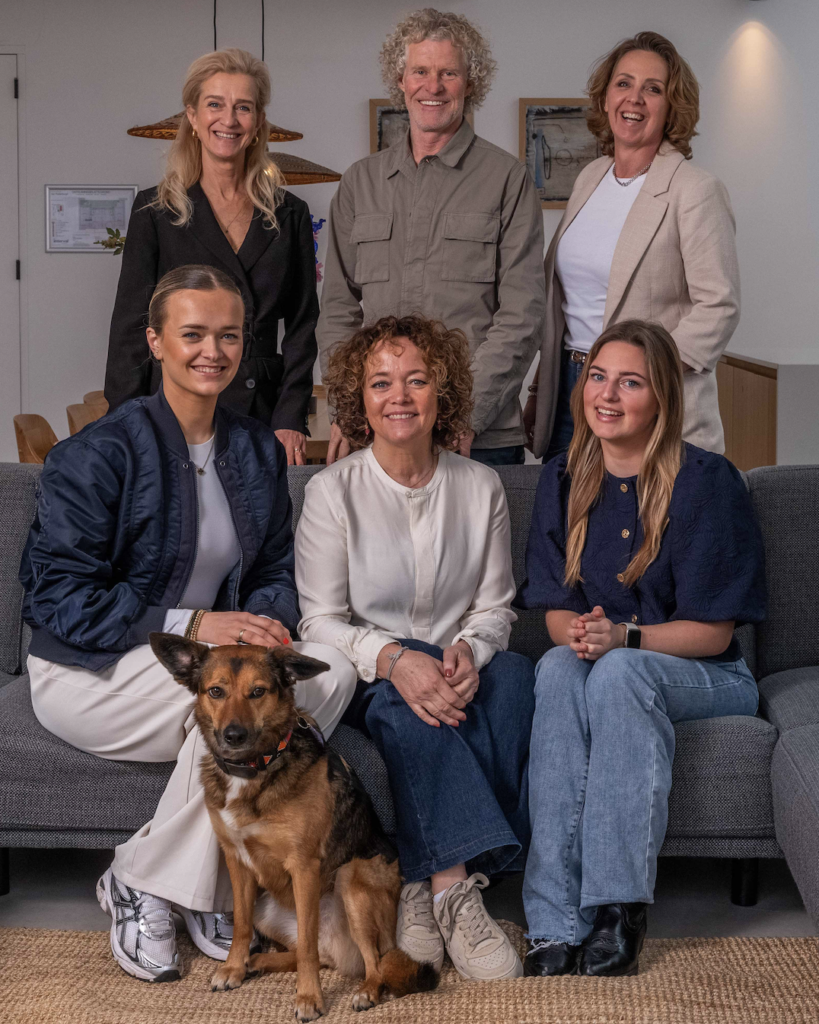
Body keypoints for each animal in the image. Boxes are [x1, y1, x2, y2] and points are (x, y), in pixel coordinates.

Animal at [149, 633, 438, 1021]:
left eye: (258, 692)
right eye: (216, 691)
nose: (233, 735)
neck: (254, 770)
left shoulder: (304, 867)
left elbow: (307, 945)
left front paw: (309, 998)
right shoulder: (236, 861)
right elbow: (241, 926)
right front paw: (234, 967)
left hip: (353, 880)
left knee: (371, 961)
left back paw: (366, 991)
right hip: (266, 905)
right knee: (314, 952)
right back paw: (257, 962)